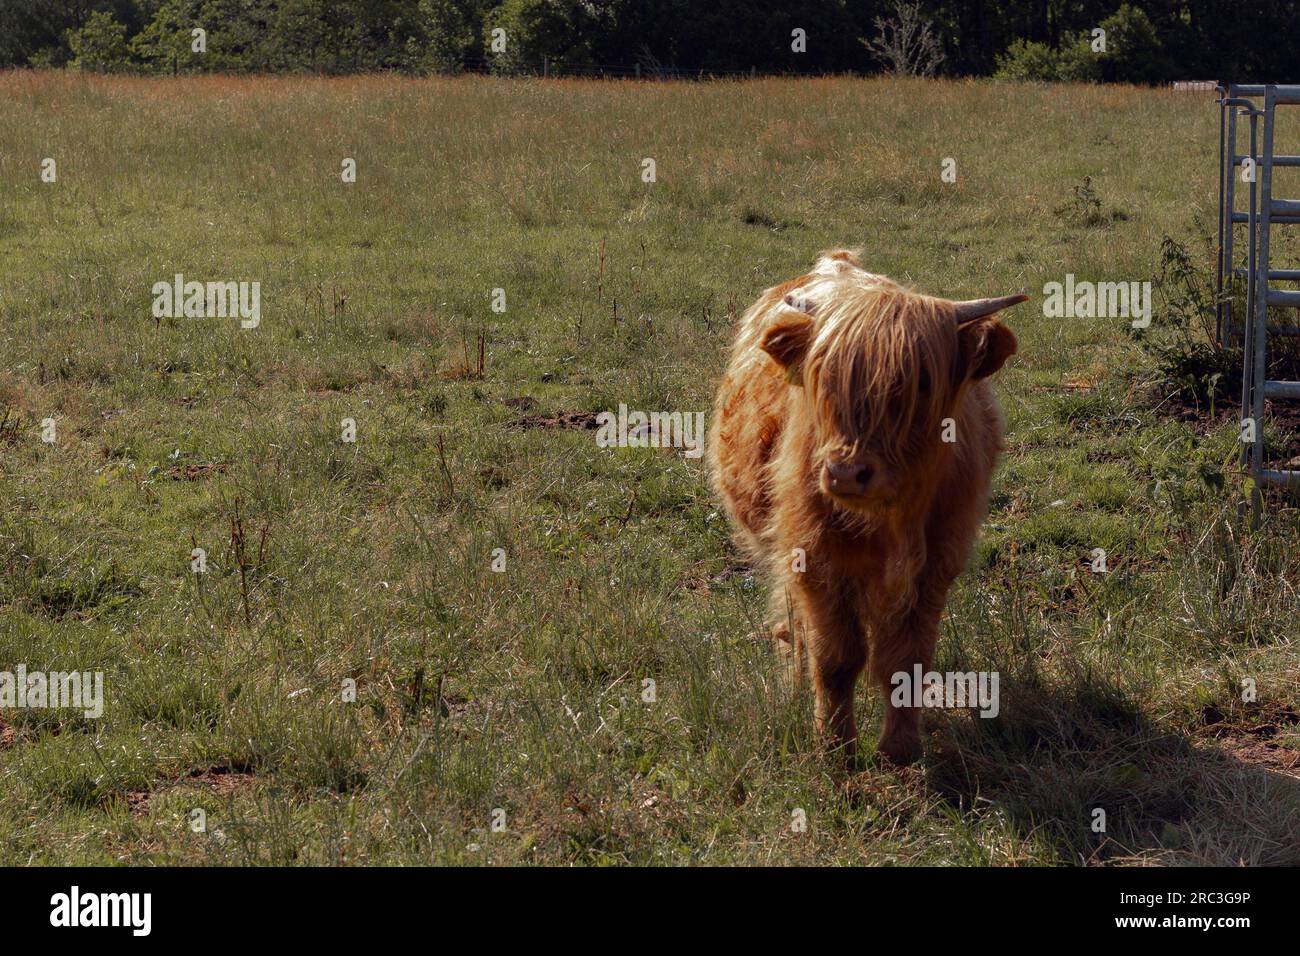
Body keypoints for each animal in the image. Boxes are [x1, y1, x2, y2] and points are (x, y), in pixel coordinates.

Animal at [712, 251, 1024, 764]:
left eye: (921, 381)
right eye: (823, 374)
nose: (845, 473)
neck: (889, 520)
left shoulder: (937, 563)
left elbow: (907, 660)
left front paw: (899, 750)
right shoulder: (814, 557)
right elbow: (836, 658)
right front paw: (834, 747)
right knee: (796, 627)